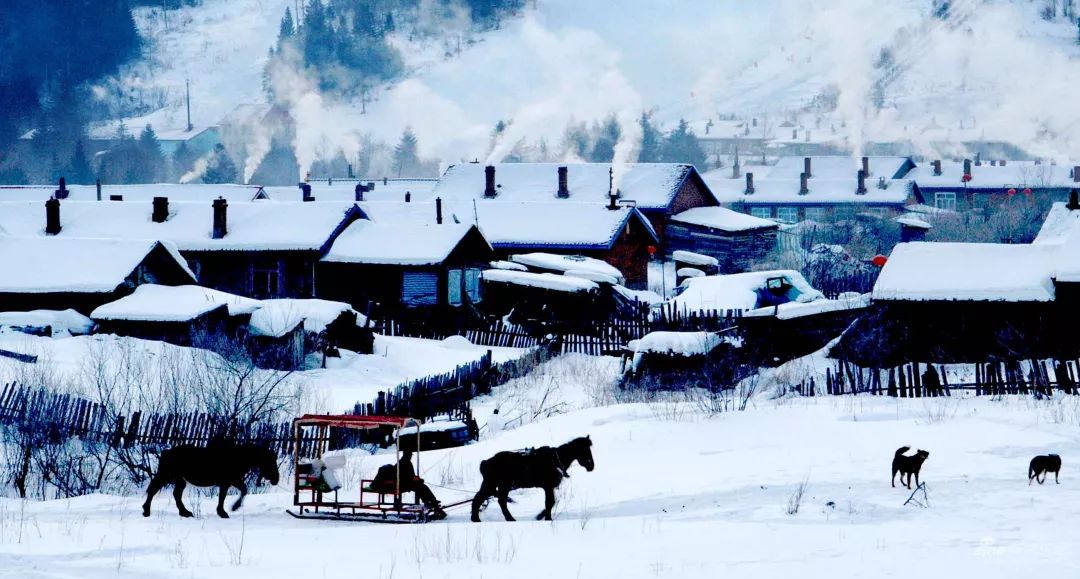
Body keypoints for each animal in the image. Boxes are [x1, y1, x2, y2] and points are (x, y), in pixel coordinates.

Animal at [141, 442, 280, 520]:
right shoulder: (229, 481)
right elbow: (235, 493)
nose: (276, 479)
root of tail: (165, 453)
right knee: (153, 490)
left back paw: (185, 513)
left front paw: (225, 511)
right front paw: (229, 509)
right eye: (270, 461)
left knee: (176, 495)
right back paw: (146, 511)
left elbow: (228, 495)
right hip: (166, 476)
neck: (238, 457)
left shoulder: (228, 482)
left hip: (180, 480)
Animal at [468, 436, 596, 522]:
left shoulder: (549, 488)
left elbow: (551, 502)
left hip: (494, 486)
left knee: (483, 500)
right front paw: (546, 518)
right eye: (583, 450)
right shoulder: (548, 487)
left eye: (589, 449)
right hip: (499, 485)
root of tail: (485, 462)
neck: (555, 459)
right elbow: (549, 502)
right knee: (492, 501)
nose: (591, 466)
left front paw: (541, 516)